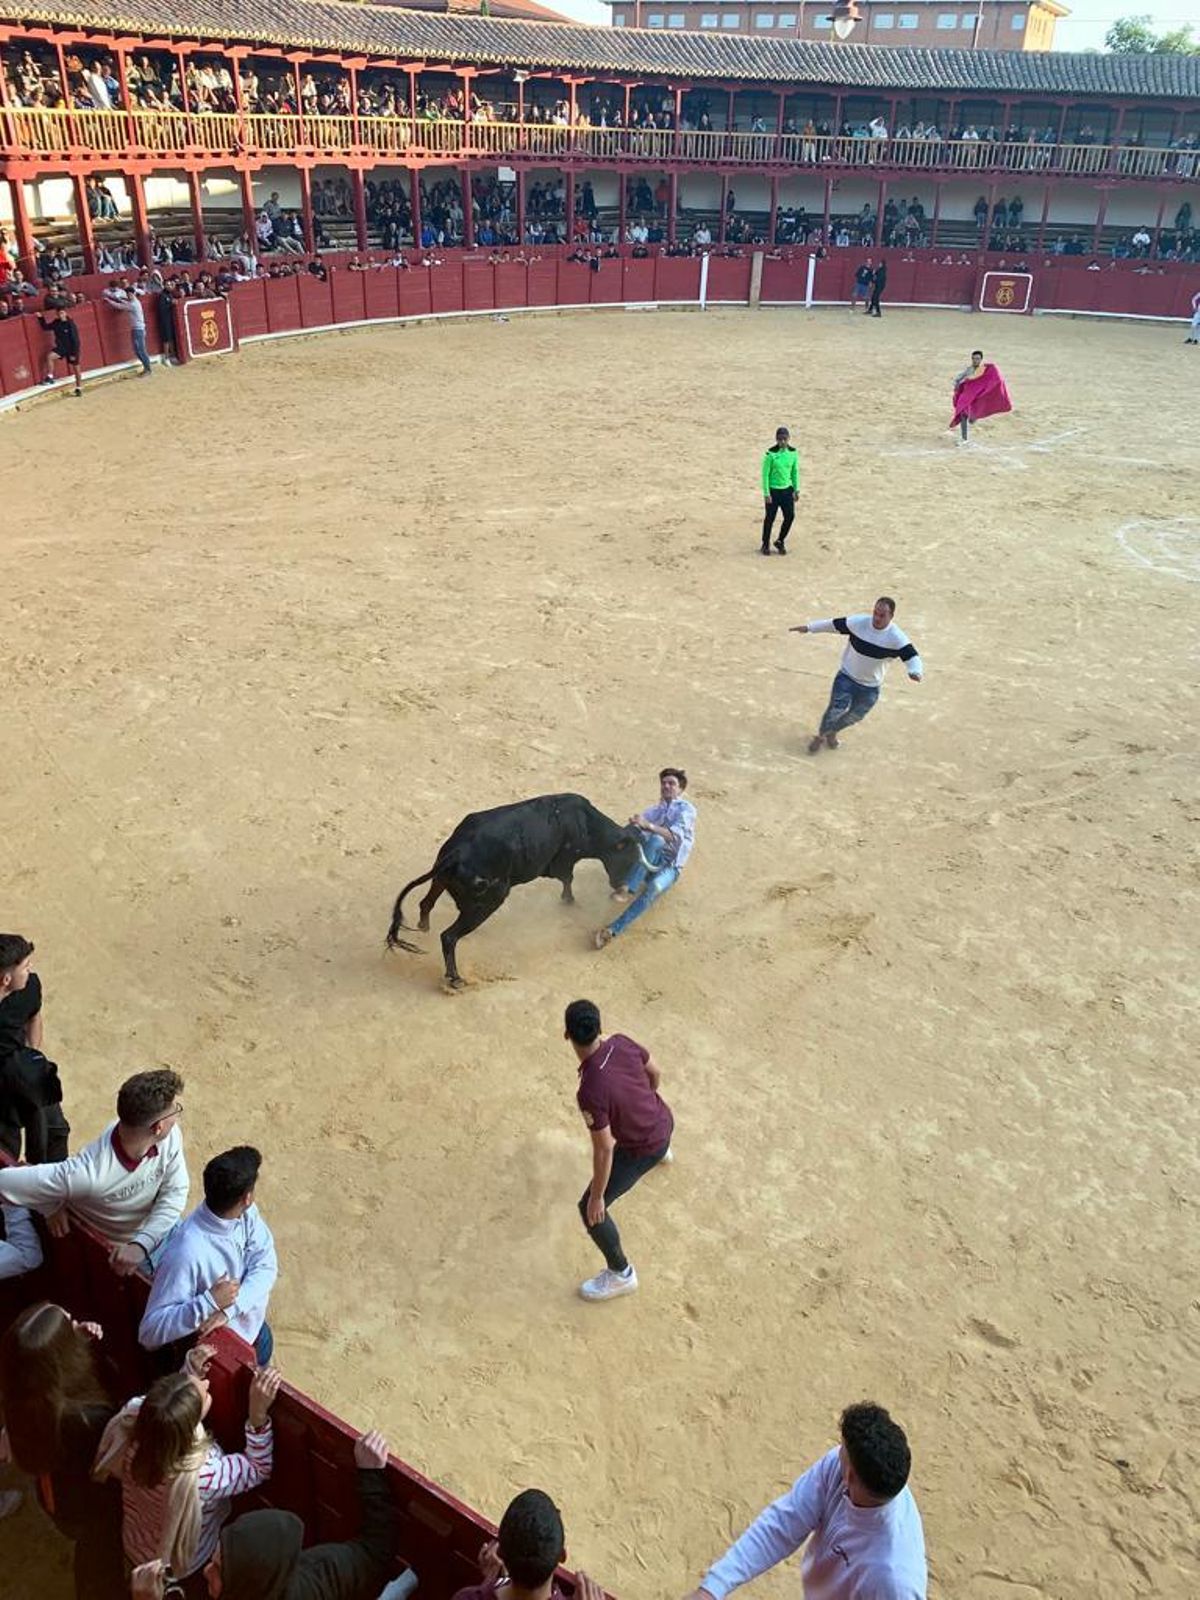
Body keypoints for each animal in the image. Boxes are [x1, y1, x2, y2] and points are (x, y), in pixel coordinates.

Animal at [387, 790, 652, 985]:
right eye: (629, 858)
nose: (620, 887)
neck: (586, 823)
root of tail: (456, 853)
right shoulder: (564, 862)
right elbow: (568, 880)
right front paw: (570, 903)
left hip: (443, 880)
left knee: (427, 902)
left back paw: (424, 926)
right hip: (487, 902)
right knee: (449, 936)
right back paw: (455, 979)